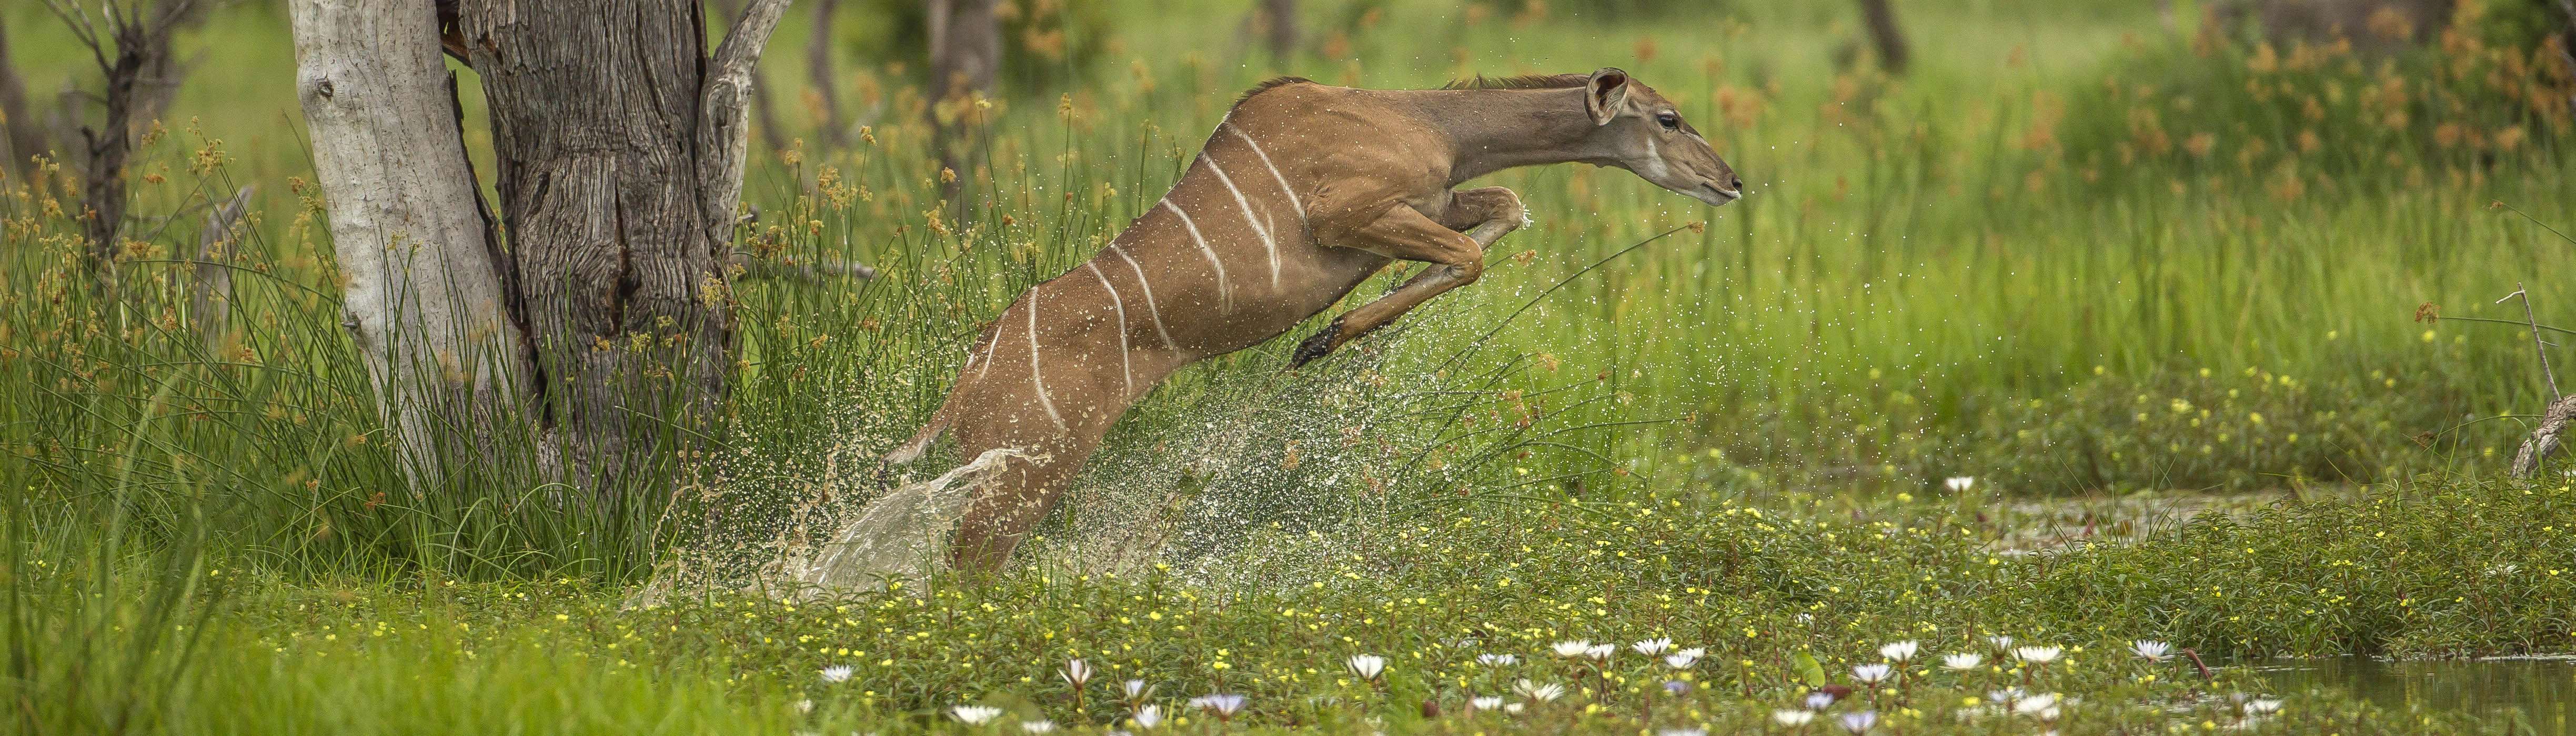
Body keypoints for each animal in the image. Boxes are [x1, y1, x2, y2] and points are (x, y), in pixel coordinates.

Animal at [876, 68, 1741, 571]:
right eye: (1668, 118)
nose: (1731, 181)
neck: (1432, 125)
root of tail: (962, 389)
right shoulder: (1347, 215)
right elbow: (1472, 254)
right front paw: (1321, 339)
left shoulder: (1434, 204)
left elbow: (1503, 210)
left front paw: (1323, 340)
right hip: (1030, 471)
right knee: (966, 568)